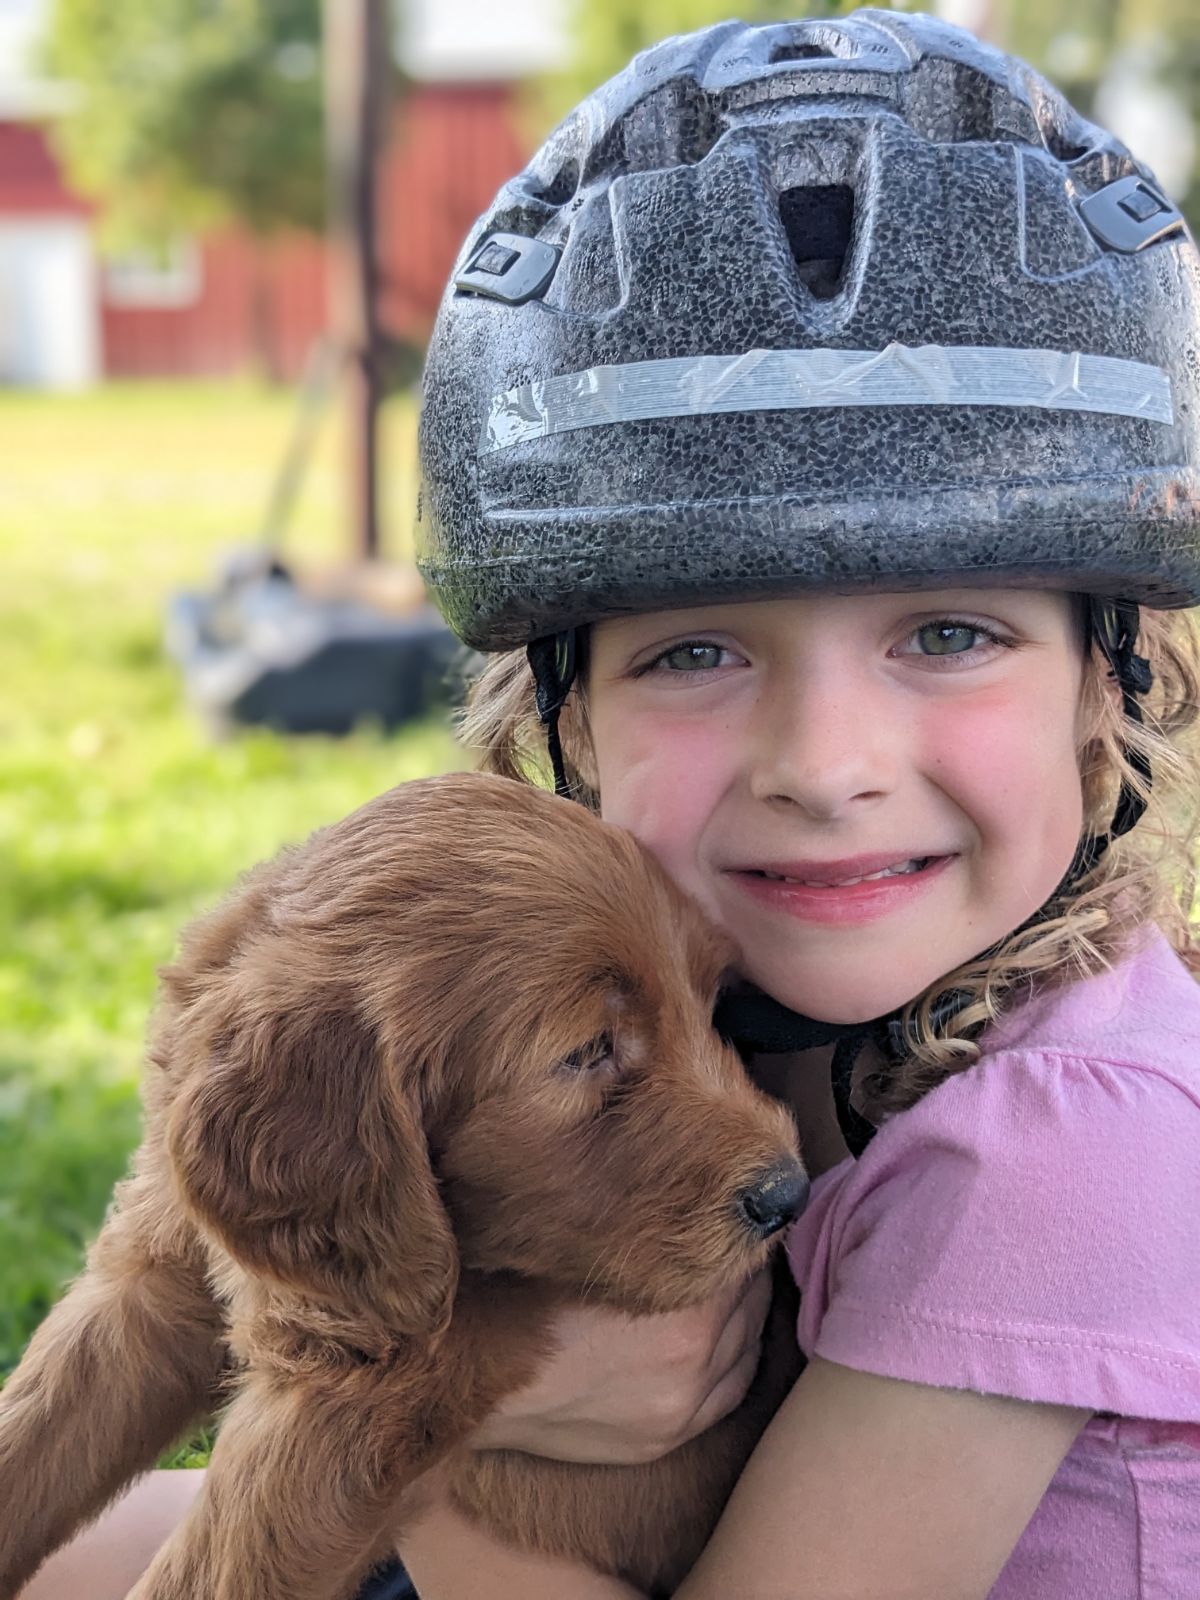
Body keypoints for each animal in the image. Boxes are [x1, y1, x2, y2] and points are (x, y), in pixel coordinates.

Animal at [2, 774, 809, 1600]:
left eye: (711, 1007)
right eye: (586, 1051)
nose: (788, 1195)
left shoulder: (370, 1391)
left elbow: (214, 1569)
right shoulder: (152, 1277)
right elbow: (36, 1425)